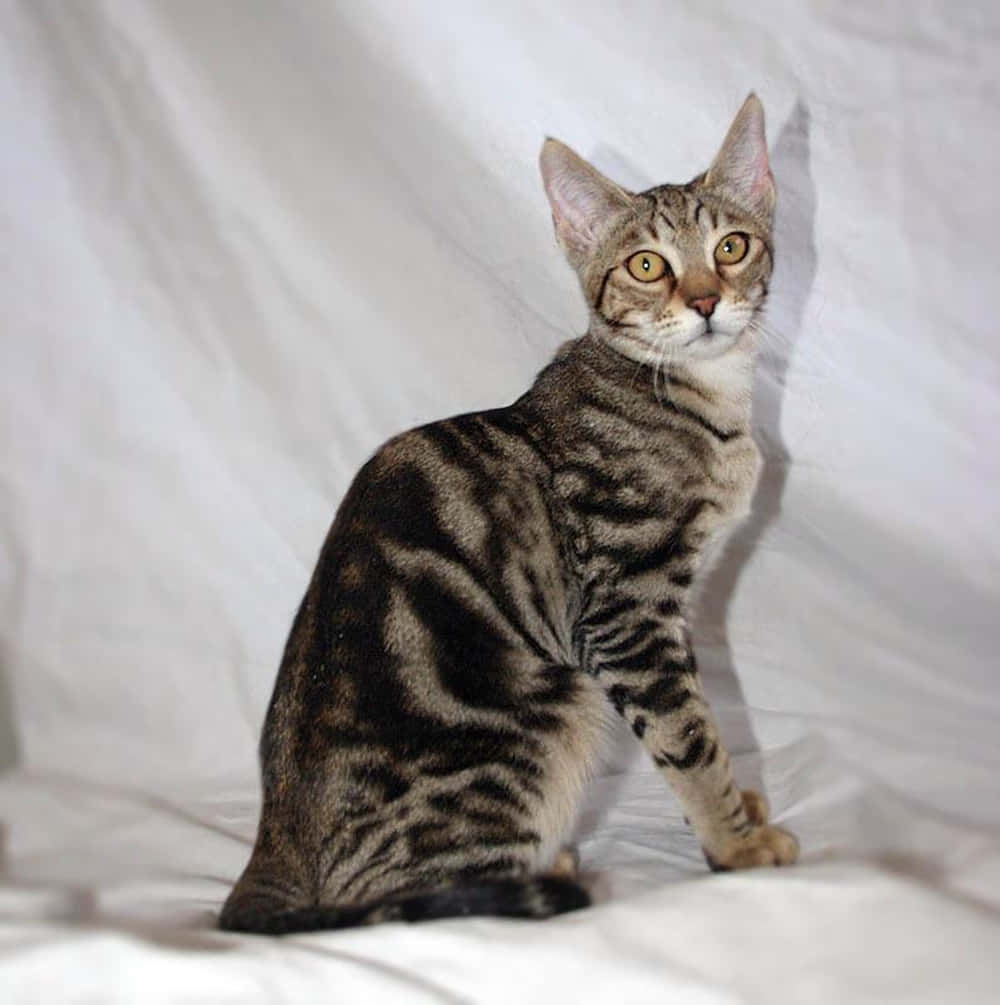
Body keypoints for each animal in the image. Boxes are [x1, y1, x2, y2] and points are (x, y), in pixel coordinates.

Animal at [219, 94, 795, 932]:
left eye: (732, 246)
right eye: (646, 264)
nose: (706, 301)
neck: (694, 398)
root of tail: (274, 838)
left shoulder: (671, 609)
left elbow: (703, 719)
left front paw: (744, 814)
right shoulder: (627, 611)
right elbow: (689, 736)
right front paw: (736, 844)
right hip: (559, 705)